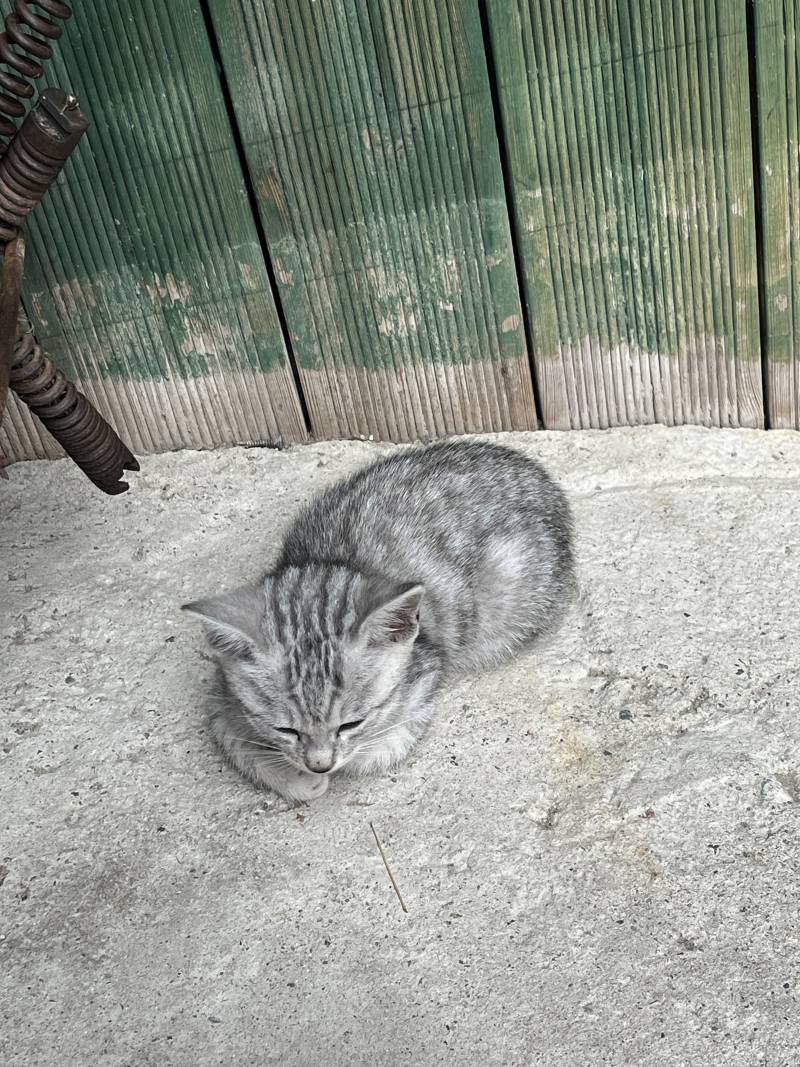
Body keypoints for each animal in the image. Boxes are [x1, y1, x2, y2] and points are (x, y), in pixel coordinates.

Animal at [186, 439, 576, 802]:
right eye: (286, 730)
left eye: (351, 723)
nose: (320, 764)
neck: (330, 560)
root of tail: (538, 474)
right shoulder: (220, 692)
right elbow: (232, 738)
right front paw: (296, 779)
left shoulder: (425, 672)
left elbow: (393, 737)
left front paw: (353, 758)